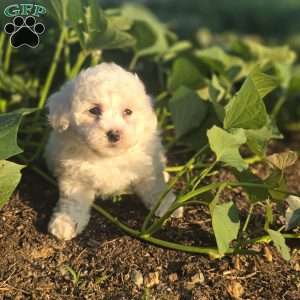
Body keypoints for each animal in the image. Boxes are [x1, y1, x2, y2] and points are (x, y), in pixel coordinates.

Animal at [44, 62, 183, 240]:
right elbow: (73, 200)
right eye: (94, 110)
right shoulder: (75, 178)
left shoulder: (146, 168)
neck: (108, 157)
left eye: (128, 112)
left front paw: (168, 205)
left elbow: (155, 187)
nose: (114, 134)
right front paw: (65, 223)